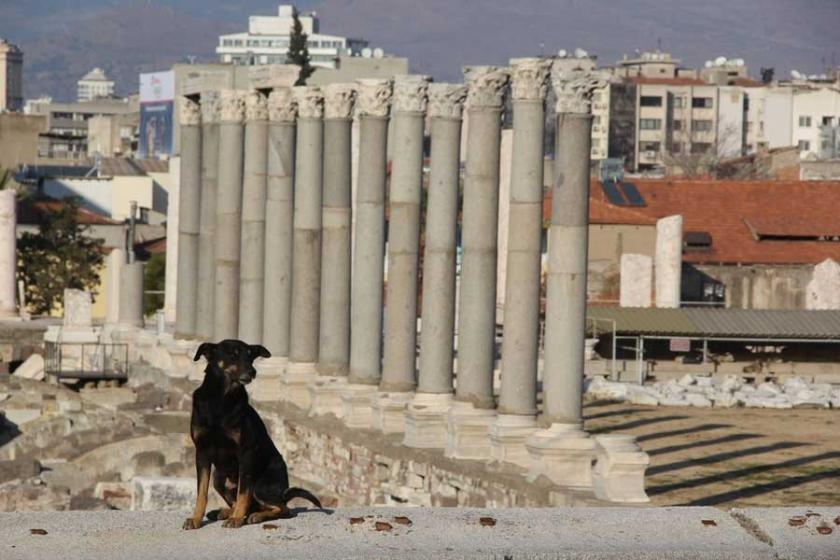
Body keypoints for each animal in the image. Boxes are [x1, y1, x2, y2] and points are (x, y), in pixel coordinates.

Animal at [182, 336, 324, 528]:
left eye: (250, 356)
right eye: (232, 354)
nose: (253, 371)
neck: (220, 399)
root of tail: (283, 492)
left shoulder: (245, 453)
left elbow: (243, 493)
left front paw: (236, 519)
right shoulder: (202, 452)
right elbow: (201, 493)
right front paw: (196, 518)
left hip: (261, 486)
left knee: (283, 509)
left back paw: (254, 516)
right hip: (219, 479)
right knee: (247, 504)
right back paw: (225, 512)